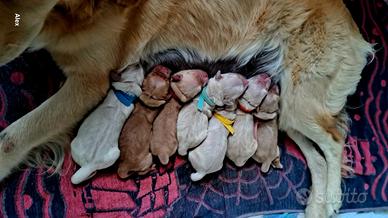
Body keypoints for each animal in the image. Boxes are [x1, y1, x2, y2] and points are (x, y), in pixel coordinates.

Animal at [0, 0, 372, 217]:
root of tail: (358, 33)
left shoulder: (89, 81)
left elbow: (12, 138)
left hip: (299, 103)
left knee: (334, 140)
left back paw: (334, 199)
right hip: (287, 111)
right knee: (316, 156)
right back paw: (316, 207)